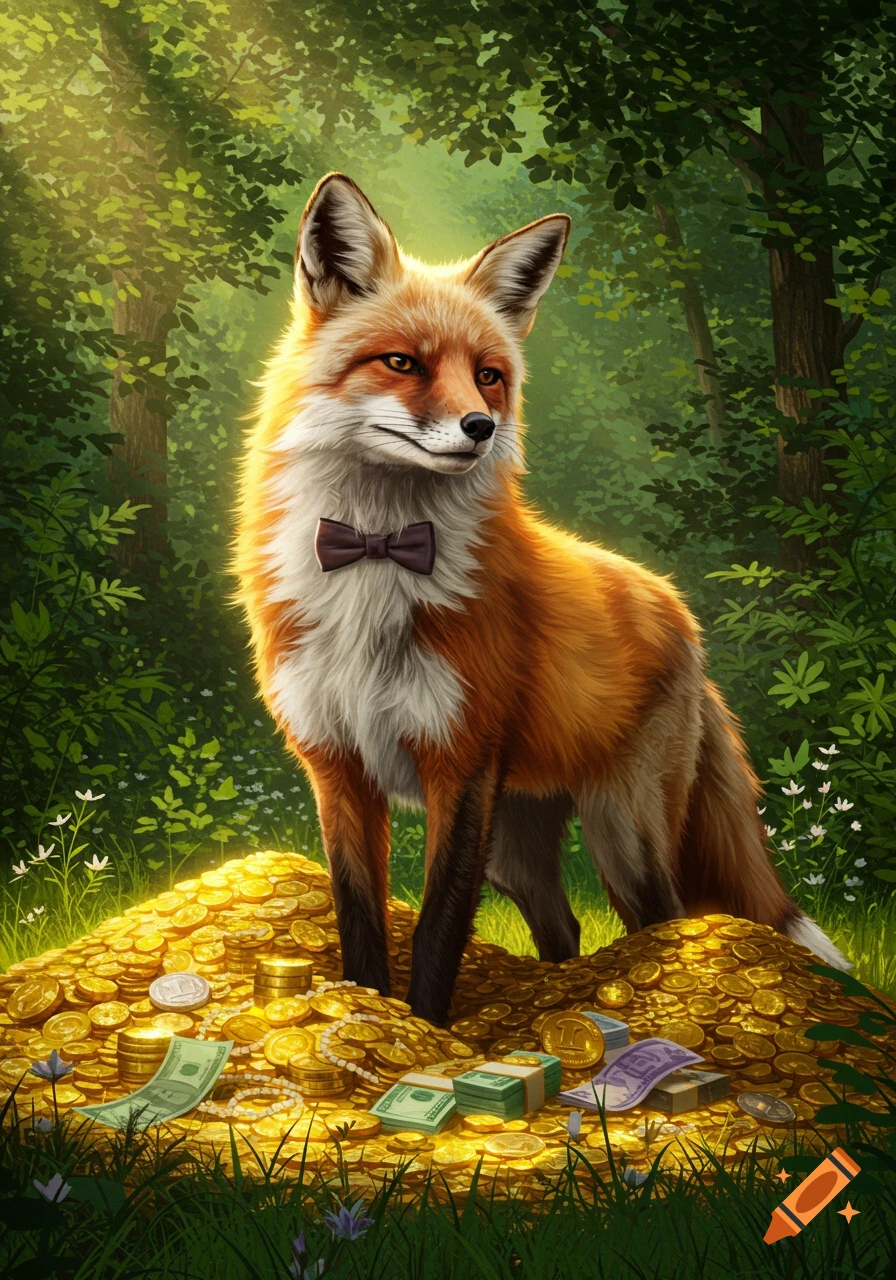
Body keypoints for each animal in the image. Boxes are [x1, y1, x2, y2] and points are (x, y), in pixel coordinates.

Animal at [234, 172, 851, 1027]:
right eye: (402, 362)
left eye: (489, 374)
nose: (480, 427)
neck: (378, 554)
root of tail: (680, 611)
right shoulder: (337, 767)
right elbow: (359, 922)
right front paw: (373, 1016)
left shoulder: (460, 767)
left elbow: (437, 928)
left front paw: (429, 1033)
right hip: (516, 849)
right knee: (563, 935)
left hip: (621, 835)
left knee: (662, 921)